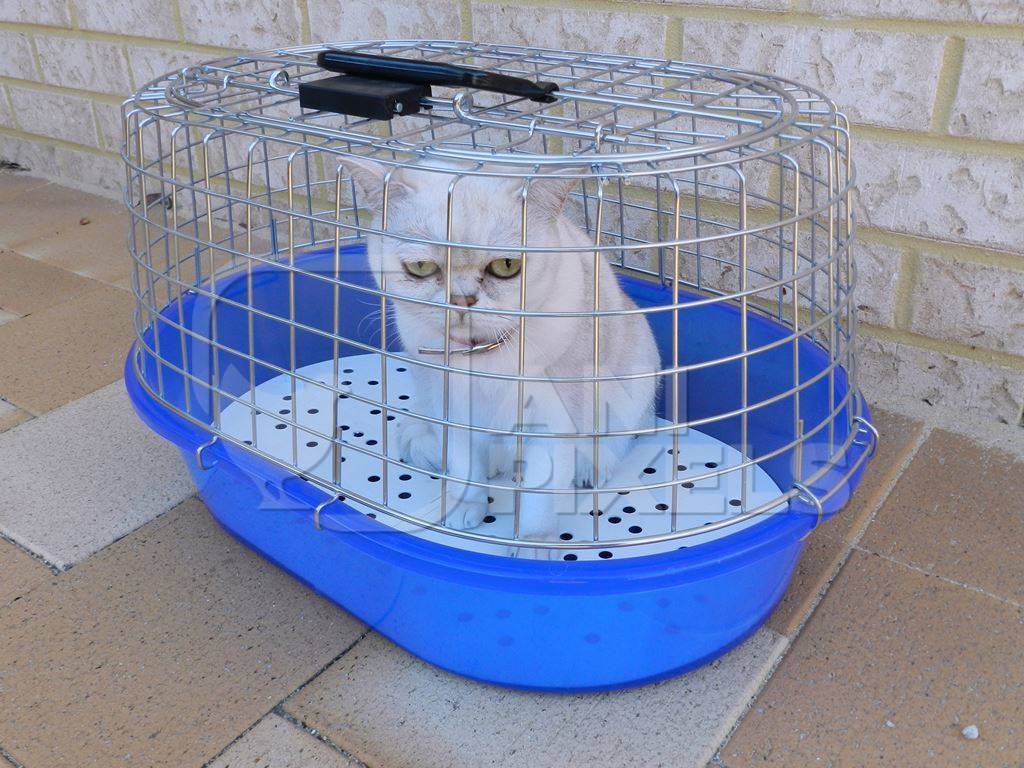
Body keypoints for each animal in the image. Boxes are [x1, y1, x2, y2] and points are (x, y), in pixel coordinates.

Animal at [339, 156, 659, 557]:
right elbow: (465, 468)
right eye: (421, 268)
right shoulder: (451, 408)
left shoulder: (555, 418)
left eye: (506, 267)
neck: (482, 357)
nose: (461, 300)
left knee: (617, 439)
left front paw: (534, 544)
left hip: (634, 380)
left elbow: (541, 495)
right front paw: (464, 505)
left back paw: (588, 469)